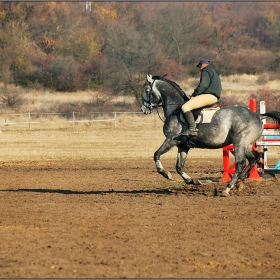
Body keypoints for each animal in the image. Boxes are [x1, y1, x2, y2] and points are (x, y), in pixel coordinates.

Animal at [141, 74, 280, 197]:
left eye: (147, 90)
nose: (143, 109)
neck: (175, 109)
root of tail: (258, 115)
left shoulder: (170, 140)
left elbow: (156, 155)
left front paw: (165, 173)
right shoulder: (183, 146)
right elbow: (179, 167)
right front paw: (192, 181)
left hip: (240, 143)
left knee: (241, 163)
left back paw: (228, 188)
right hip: (246, 144)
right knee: (253, 159)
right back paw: (240, 180)